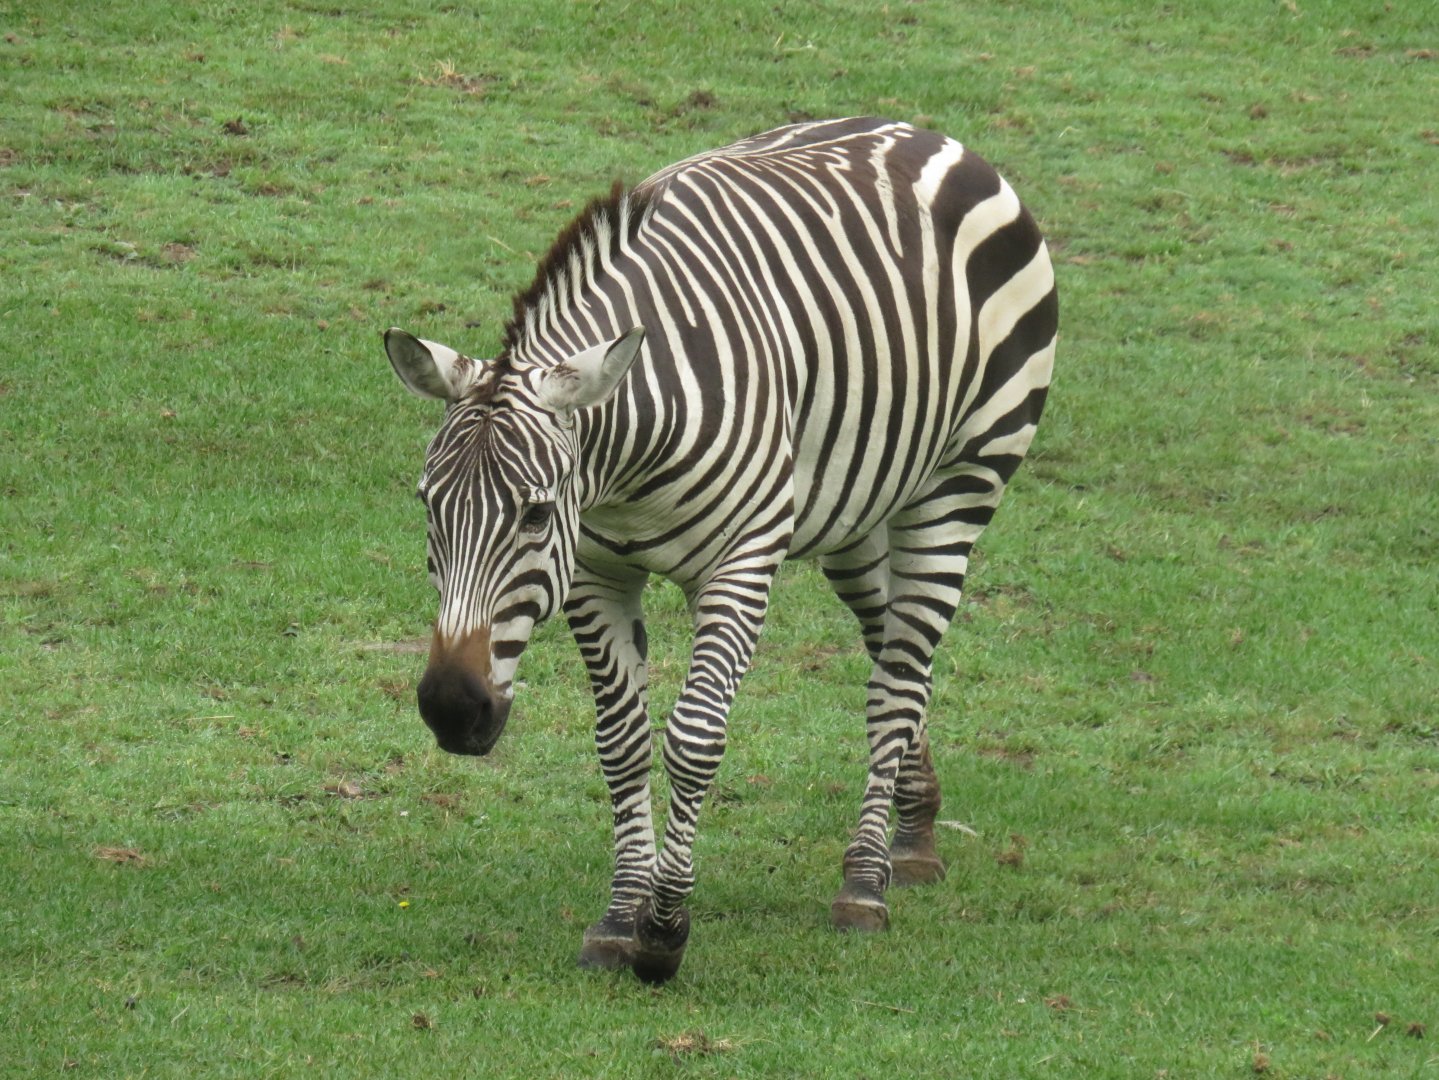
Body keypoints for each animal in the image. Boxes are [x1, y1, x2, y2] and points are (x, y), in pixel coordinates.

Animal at [382, 117, 1057, 983]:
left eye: (533, 515)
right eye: (428, 507)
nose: (450, 709)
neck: (624, 462)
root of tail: (925, 134)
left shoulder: (740, 560)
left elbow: (694, 739)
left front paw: (665, 930)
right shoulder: (595, 571)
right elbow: (622, 742)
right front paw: (619, 917)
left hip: (960, 484)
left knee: (896, 682)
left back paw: (864, 882)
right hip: (856, 513)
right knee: (896, 656)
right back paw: (913, 830)